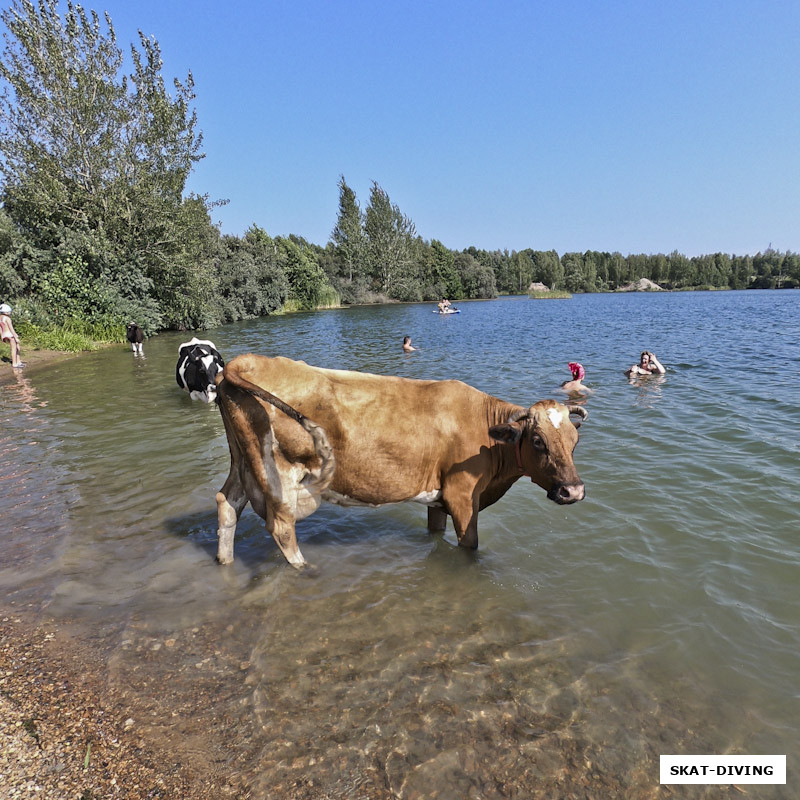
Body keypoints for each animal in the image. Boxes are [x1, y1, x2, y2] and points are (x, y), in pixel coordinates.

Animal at [214, 354, 588, 564]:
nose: (574, 491)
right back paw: (305, 569)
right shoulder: (462, 496)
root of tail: (250, 360)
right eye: (537, 441)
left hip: (243, 462)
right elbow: (470, 547)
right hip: (278, 474)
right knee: (281, 528)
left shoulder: (439, 498)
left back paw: (225, 560)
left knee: (227, 503)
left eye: (575, 440)